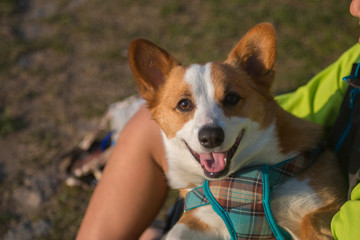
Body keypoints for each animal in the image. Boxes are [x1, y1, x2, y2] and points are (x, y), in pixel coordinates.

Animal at [129, 22, 346, 238]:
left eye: (231, 98)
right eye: (184, 104)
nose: (211, 137)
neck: (241, 175)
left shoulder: (321, 203)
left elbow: (313, 221)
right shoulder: (203, 219)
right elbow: (175, 232)